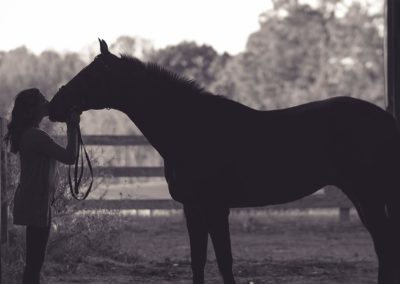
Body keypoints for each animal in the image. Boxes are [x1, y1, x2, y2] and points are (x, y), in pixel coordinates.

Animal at [48, 38, 400, 282]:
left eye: (91, 75)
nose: (54, 106)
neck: (192, 129)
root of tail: (386, 120)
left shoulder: (216, 207)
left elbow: (224, 261)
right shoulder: (193, 208)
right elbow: (198, 261)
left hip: (367, 194)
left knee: (384, 244)